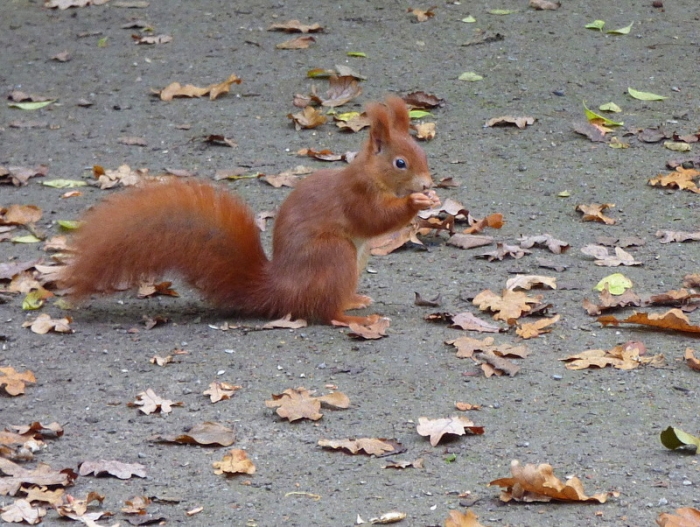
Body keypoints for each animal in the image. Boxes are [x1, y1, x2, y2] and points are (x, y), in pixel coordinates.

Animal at [59, 95, 441, 325]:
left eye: (423, 155)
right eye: (401, 162)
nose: (426, 184)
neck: (371, 174)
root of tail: (283, 291)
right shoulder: (355, 195)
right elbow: (374, 218)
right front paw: (415, 203)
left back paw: (355, 302)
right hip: (334, 255)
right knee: (324, 311)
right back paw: (354, 318)